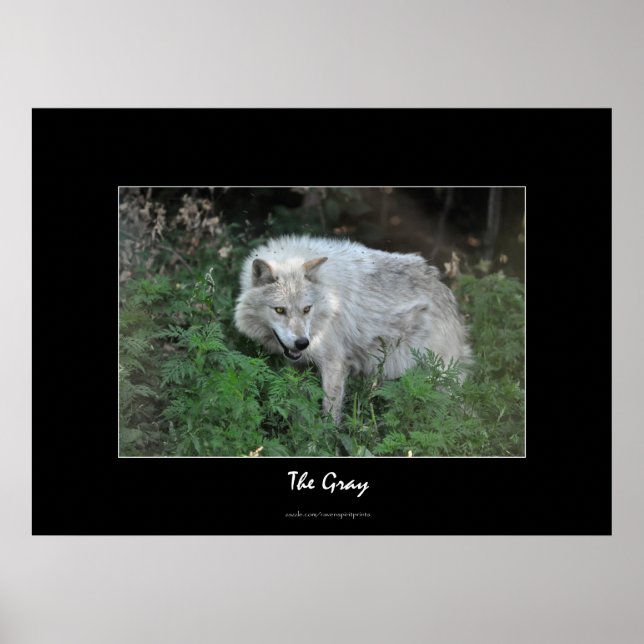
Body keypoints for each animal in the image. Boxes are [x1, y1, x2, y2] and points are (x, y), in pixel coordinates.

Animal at [234, 235, 470, 424]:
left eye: (307, 309)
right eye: (280, 310)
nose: (302, 343)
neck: (327, 299)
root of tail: (448, 296)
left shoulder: (335, 365)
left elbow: (330, 414)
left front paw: (322, 441)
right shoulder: (297, 366)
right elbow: (298, 405)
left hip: (441, 380)